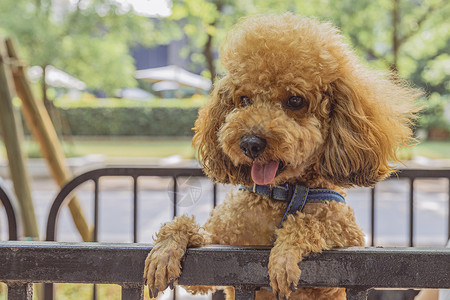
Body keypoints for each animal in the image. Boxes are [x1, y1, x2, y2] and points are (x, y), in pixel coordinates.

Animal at [143, 12, 418, 298]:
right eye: (244, 100)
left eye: (295, 101)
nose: (250, 143)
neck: (282, 195)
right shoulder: (217, 258)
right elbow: (186, 227)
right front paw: (166, 250)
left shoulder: (345, 253)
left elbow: (309, 224)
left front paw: (284, 255)